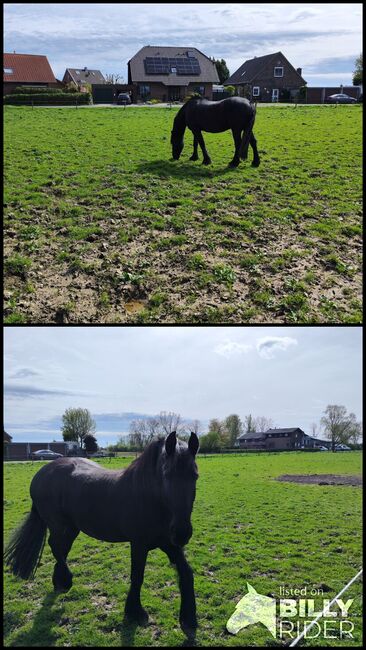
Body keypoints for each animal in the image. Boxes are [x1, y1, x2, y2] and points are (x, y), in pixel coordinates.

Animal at [2, 430, 199, 632]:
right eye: (166, 474)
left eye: (195, 476)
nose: (182, 532)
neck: (151, 498)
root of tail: (41, 473)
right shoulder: (139, 544)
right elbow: (137, 576)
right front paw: (135, 612)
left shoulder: (168, 543)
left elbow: (187, 573)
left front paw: (188, 619)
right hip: (59, 526)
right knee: (56, 547)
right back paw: (66, 580)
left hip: (71, 528)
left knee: (61, 549)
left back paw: (60, 582)